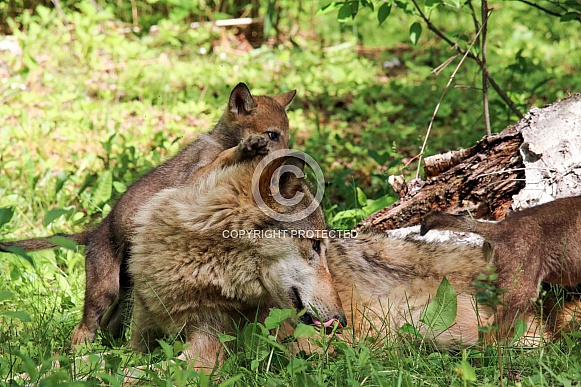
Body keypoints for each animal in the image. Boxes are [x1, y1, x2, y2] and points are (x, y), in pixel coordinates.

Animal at [0, 84, 296, 346]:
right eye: (272, 135)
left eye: (287, 135)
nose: (290, 163)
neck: (220, 139)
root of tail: (95, 230)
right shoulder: (194, 179)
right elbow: (222, 158)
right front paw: (244, 148)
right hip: (105, 289)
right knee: (83, 329)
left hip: (127, 294)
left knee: (110, 327)